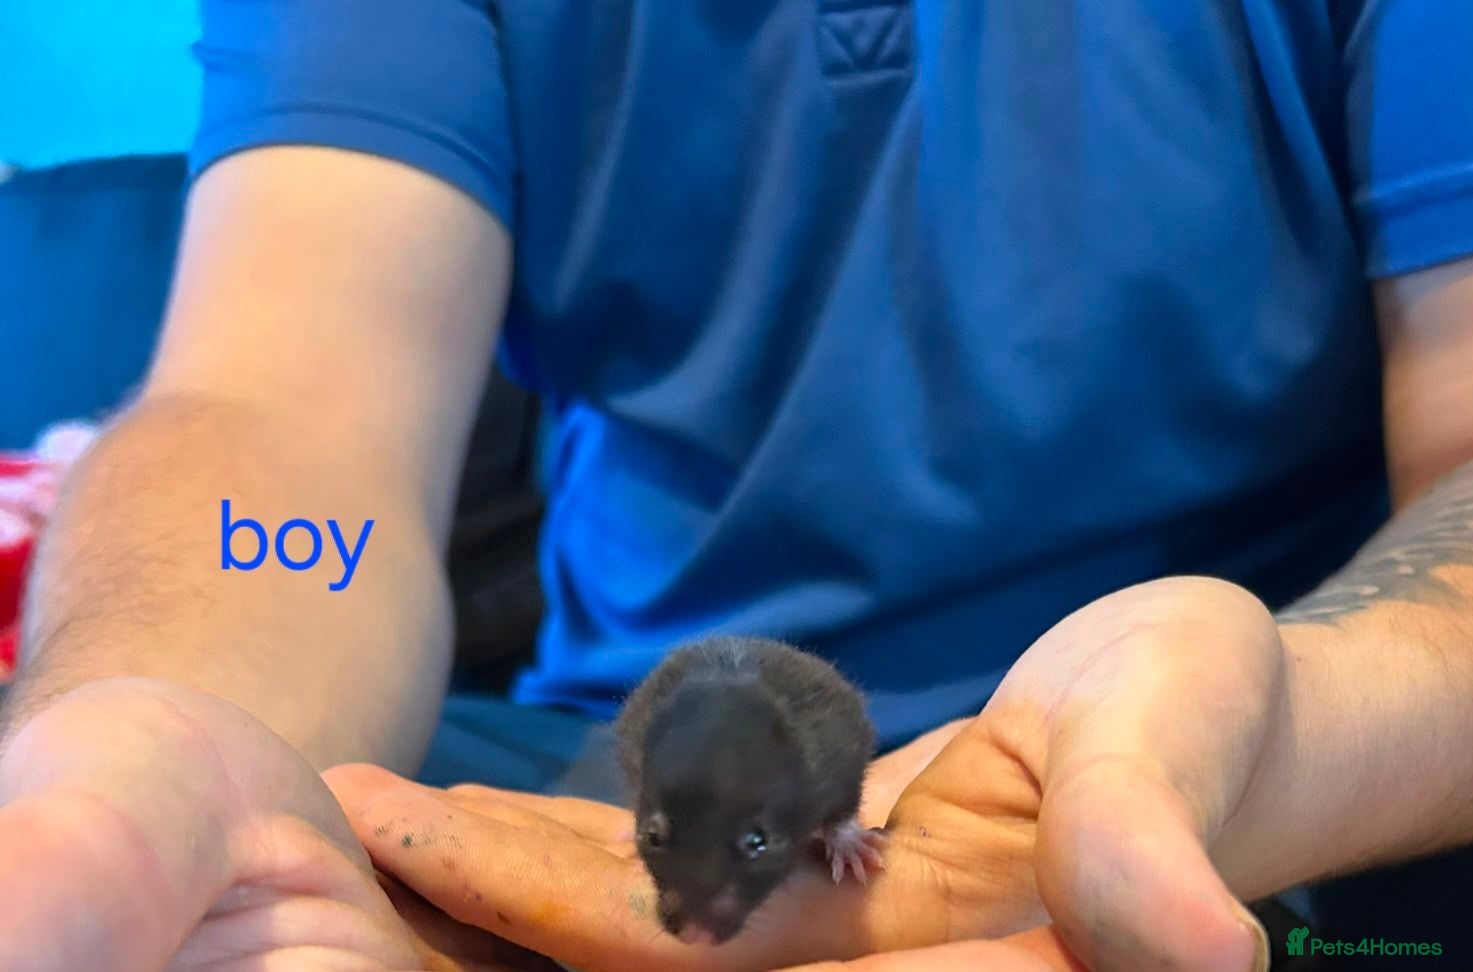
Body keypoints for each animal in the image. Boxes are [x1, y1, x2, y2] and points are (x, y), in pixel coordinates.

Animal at [613, 635, 886, 945]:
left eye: (758, 842)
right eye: (653, 836)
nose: (696, 934)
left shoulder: (843, 754)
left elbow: (844, 804)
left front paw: (848, 844)